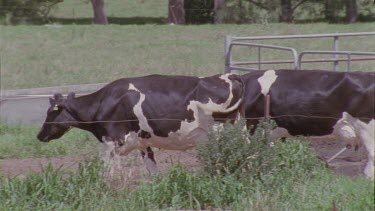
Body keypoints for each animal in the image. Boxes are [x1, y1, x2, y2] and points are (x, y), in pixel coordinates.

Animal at [37, 73, 244, 172]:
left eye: (50, 112)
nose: (39, 135)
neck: (104, 101)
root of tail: (230, 76)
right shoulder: (143, 143)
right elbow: (152, 170)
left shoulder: (112, 141)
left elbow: (106, 169)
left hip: (220, 133)